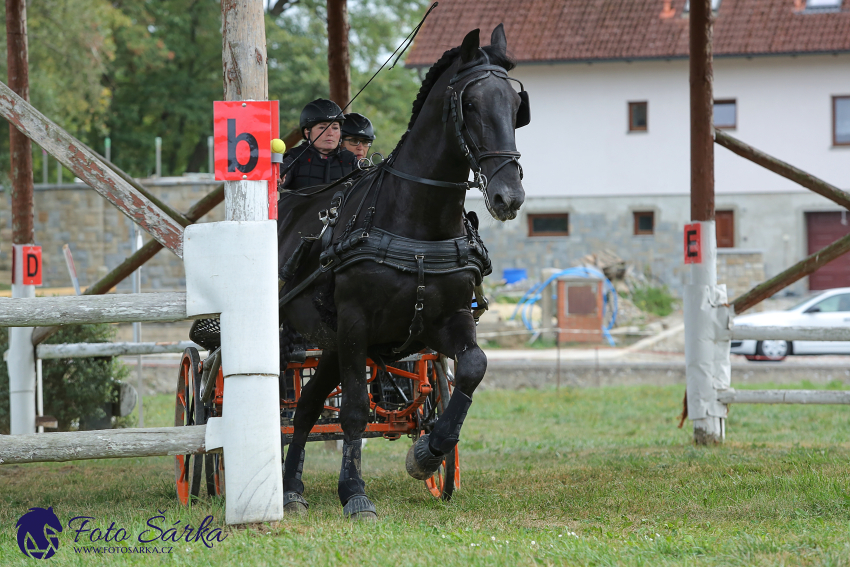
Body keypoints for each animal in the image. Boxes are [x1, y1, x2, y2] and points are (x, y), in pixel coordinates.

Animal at [278, 24, 524, 520]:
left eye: (515, 104)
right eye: (471, 104)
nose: (509, 195)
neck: (414, 219)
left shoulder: (448, 318)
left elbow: (473, 366)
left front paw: (429, 453)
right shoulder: (356, 323)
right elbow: (354, 409)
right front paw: (354, 492)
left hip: (330, 343)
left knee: (308, 406)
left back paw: (293, 487)